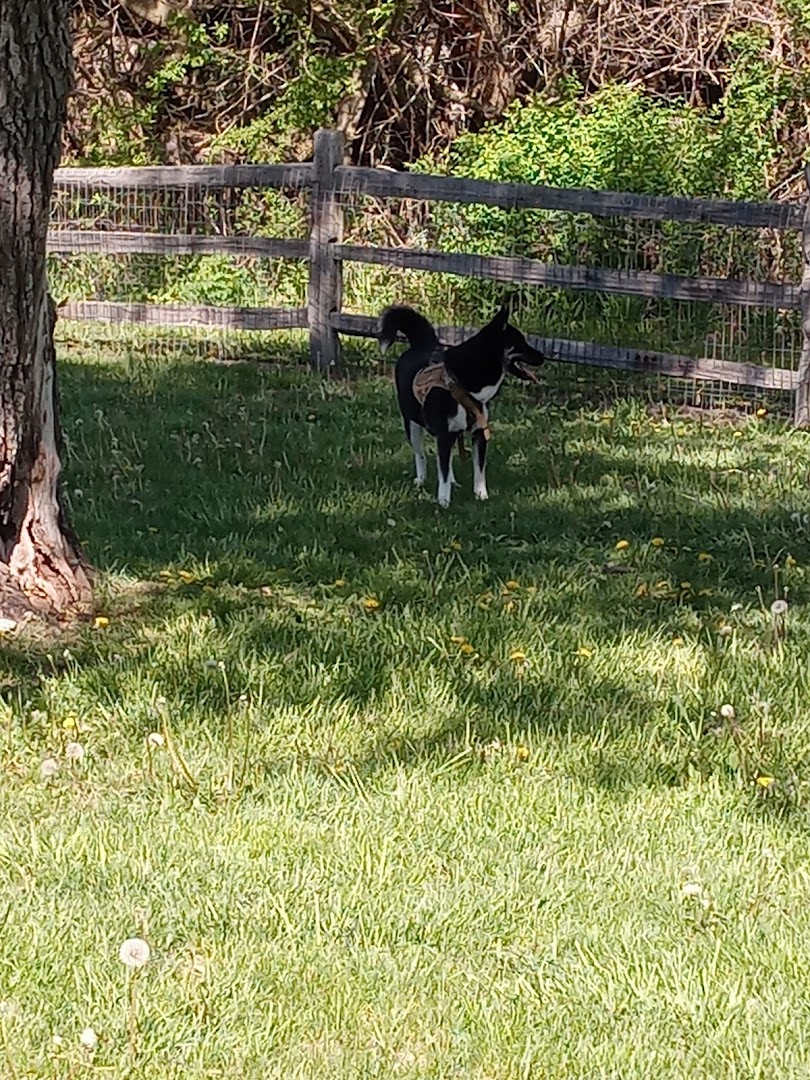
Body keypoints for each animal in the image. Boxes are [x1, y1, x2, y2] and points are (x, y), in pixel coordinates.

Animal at [380, 304, 546, 505]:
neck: (464, 382)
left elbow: (479, 470)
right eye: (520, 343)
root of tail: (421, 345)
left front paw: (481, 495)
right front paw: (444, 501)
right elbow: (442, 471)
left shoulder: (479, 432)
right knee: (420, 454)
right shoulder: (444, 434)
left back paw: (453, 481)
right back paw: (421, 479)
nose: (543, 356)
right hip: (412, 424)